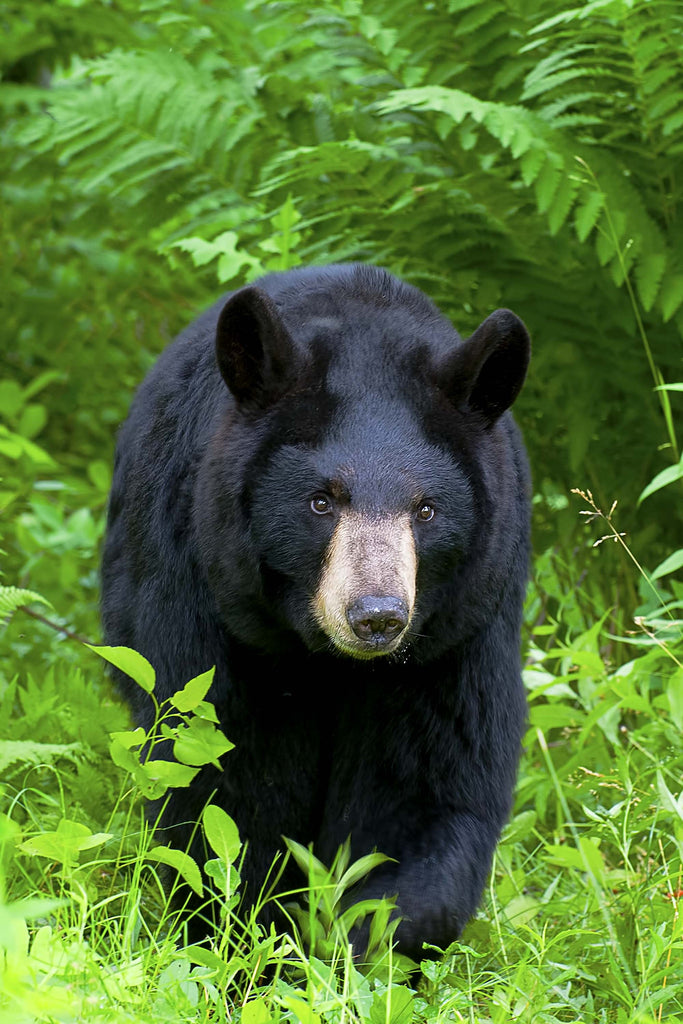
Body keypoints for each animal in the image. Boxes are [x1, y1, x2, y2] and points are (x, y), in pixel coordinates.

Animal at [101, 262, 531, 961]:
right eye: (320, 501)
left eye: (426, 508)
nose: (376, 616)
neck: (327, 658)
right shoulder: (211, 603)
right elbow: (223, 780)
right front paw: (246, 946)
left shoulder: (454, 633)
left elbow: (422, 785)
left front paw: (366, 948)